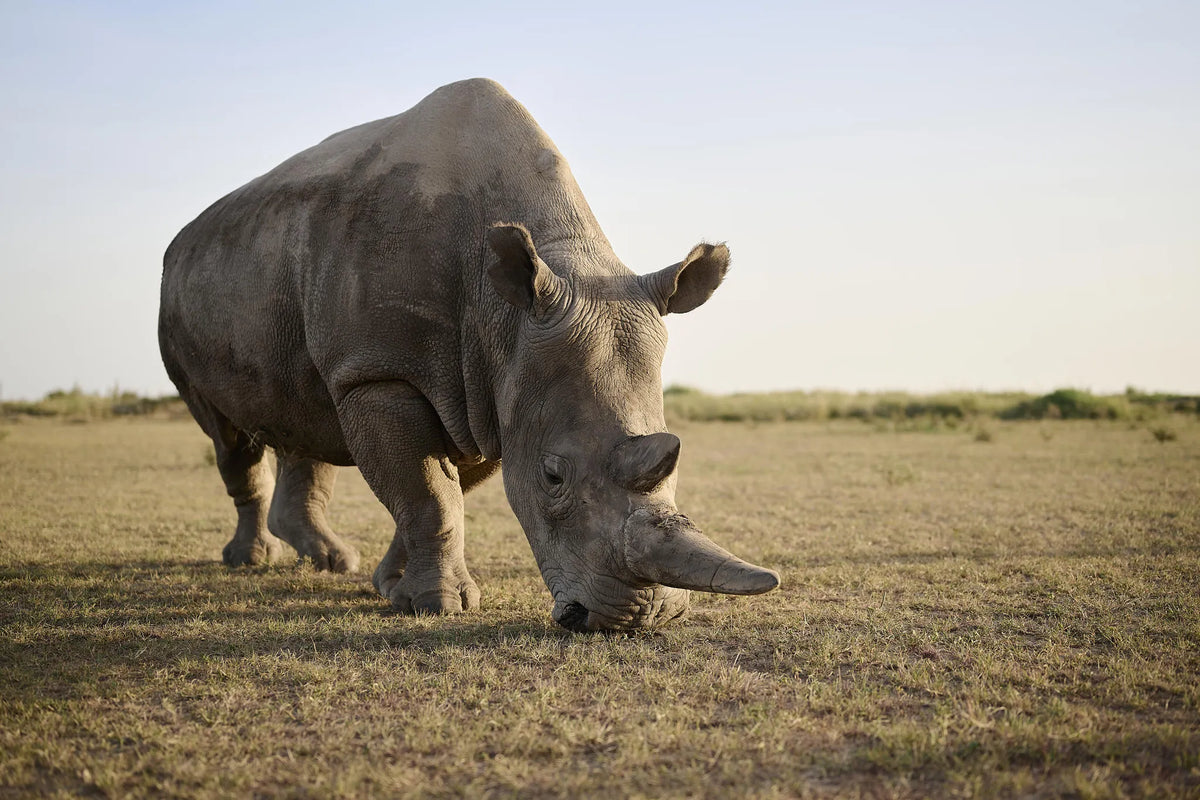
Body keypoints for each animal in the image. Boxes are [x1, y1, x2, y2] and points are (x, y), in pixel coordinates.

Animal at [158, 78, 779, 632]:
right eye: (553, 476)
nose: (635, 620)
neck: (503, 313)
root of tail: (182, 239)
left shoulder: (488, 388)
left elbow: (434, 488)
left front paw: (394, 587)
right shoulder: (385, 373)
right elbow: (431, 493)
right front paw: (439, 606)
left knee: (304, 413)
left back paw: (331, 561)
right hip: (183, 298)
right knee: (230, 436)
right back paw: (250, 560)